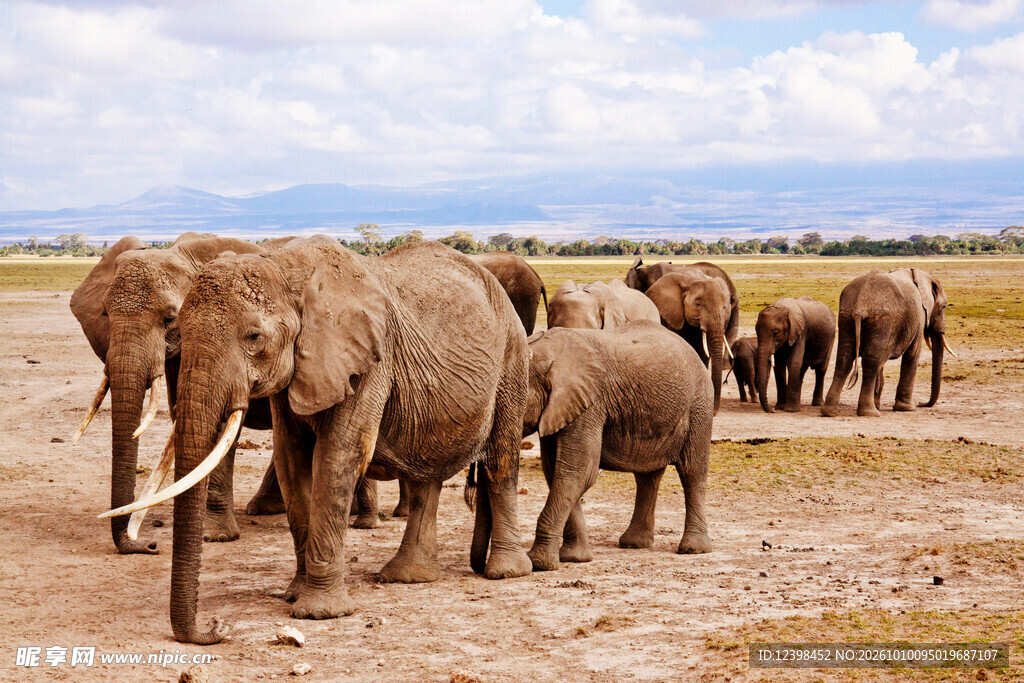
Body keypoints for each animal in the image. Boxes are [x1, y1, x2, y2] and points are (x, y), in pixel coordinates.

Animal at [100, 236, 532, 644]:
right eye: (180, 329)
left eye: (254, 337)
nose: (216, 627)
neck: (286, 269)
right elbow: (292, 461)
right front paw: (294, 593)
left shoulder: (369, 361)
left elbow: (336, 458)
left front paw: (319, 612)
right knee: (427, 472)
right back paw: (409, 577)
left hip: (512, 358)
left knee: (500, 459)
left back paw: (505, 571)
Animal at [522, 322, 713, 571]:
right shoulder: (560, 408)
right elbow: (557, 472)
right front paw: (575, 558)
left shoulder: (590, 405)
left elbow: (578, 472)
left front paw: (539, 563)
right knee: (647, 477)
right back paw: (634, 544)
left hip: (699, 405)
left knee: (692, 471)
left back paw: (693, 549)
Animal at [821, 268, 954, 417]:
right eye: (943, 307)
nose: (921, 404)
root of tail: (861, 303)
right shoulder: (919, 316)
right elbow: (912, 353)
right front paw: (906, 408)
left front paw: (879, 404)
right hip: (883, 319)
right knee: (871, 362)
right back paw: (870, 413)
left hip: (846, 316)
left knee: (845, 359)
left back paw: (829, 411)